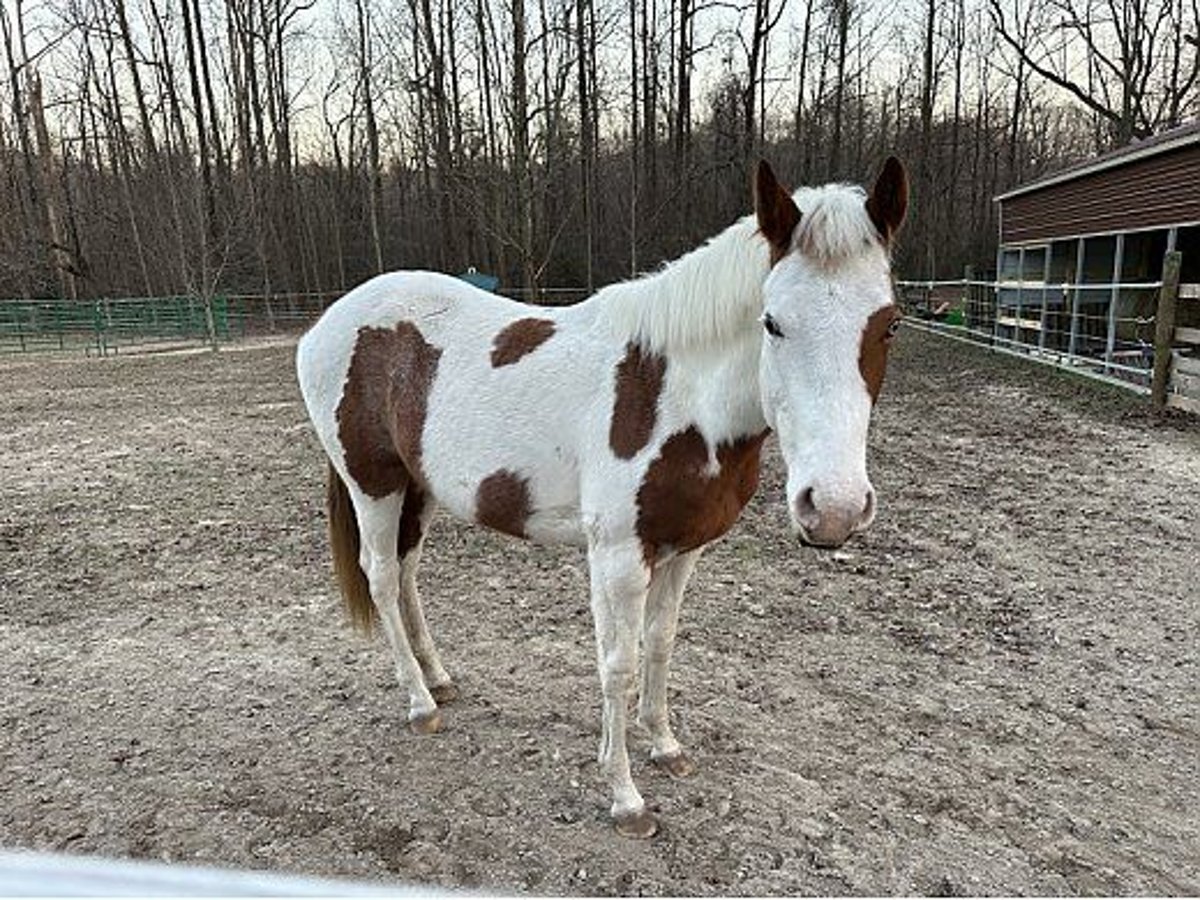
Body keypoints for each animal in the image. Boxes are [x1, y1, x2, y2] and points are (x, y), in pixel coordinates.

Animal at [295, 157, 902, 840]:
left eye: (890, 324)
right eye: (772, 322)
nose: (834, 509)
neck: (677, 396)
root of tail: (328, 323)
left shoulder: (684, 549)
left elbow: (660, 644)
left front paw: (665, 746)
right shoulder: (617, 557)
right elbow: (618, 663)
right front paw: (625, 797)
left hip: (416, 489)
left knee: (405, 575)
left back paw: (440, 679)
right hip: (373, 483)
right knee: (378, 575)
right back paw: (420, 703)